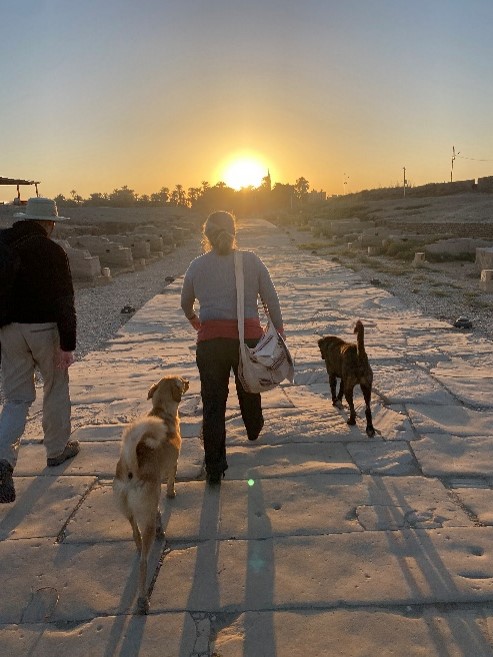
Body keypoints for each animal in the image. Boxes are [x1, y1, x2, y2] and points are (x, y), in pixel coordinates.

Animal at [113, 374, 188, 616]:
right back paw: (143, 599)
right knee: (144, 562)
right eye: (181, 381)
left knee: (135, 534)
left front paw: (161, 525)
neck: (161, 412)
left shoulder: (154, 494)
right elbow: (172, 480)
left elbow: (157, 511)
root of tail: (131, 468)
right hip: (145, 518)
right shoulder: (172, 466)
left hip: (130, 512)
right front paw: (172, 494)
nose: (188, 380)